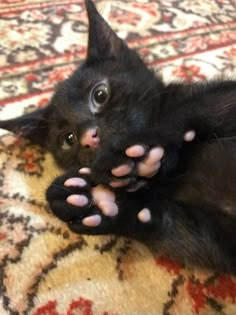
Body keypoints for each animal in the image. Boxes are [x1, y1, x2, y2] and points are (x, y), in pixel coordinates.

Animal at [0, 0, 236, 274]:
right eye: (67, 139)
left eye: (100, 94)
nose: (89, 137)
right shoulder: (221, 239)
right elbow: (180, 232)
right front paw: (98, 202)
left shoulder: (222, 98)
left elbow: (187, 110)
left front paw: (127, 155)